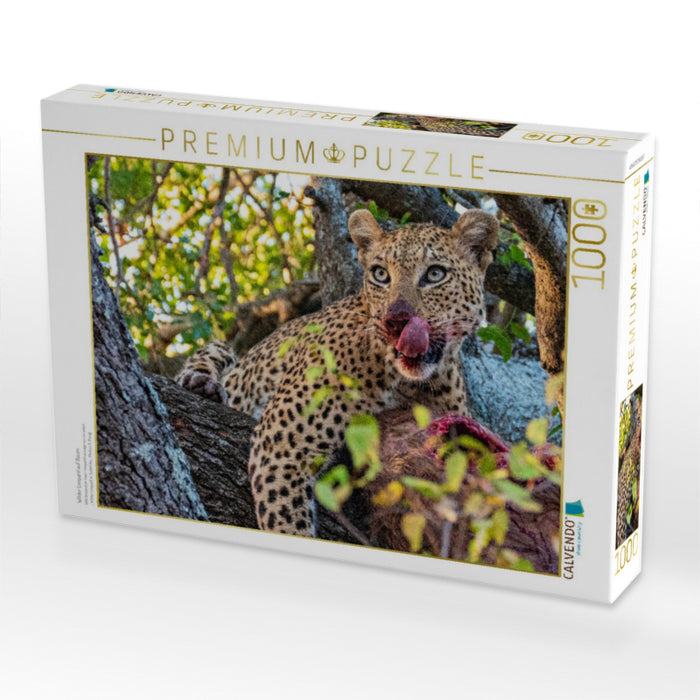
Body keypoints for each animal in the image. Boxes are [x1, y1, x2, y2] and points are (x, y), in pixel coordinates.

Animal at [177, 207, 500, 539]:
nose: (396, 320)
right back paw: (201, 383)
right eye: (380, 274)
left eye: (435, 274)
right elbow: (288, 522)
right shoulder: (281, 444)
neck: (408, 384)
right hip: (223, 352)